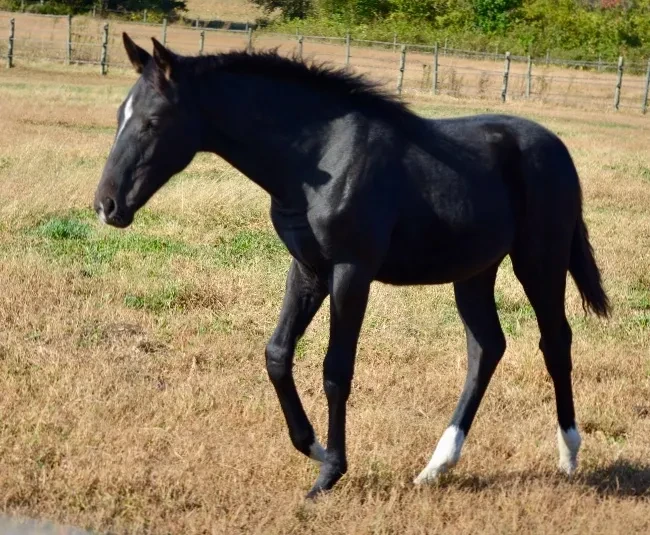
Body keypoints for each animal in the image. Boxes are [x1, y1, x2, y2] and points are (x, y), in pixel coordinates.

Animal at [94, 33, 610, 498]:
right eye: (119, 114)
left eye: (153, 120)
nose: (106, 205)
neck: (318, 158)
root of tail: (557, 147)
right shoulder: (307, 268)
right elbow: (277, 354)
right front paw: (313, 447)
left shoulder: (351, 271)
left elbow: (336, 369)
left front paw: (331, 472)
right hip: (474, 272)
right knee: (486, 348)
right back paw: (436, 467)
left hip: (540, 260)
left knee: (554, 341)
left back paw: (568, 454)